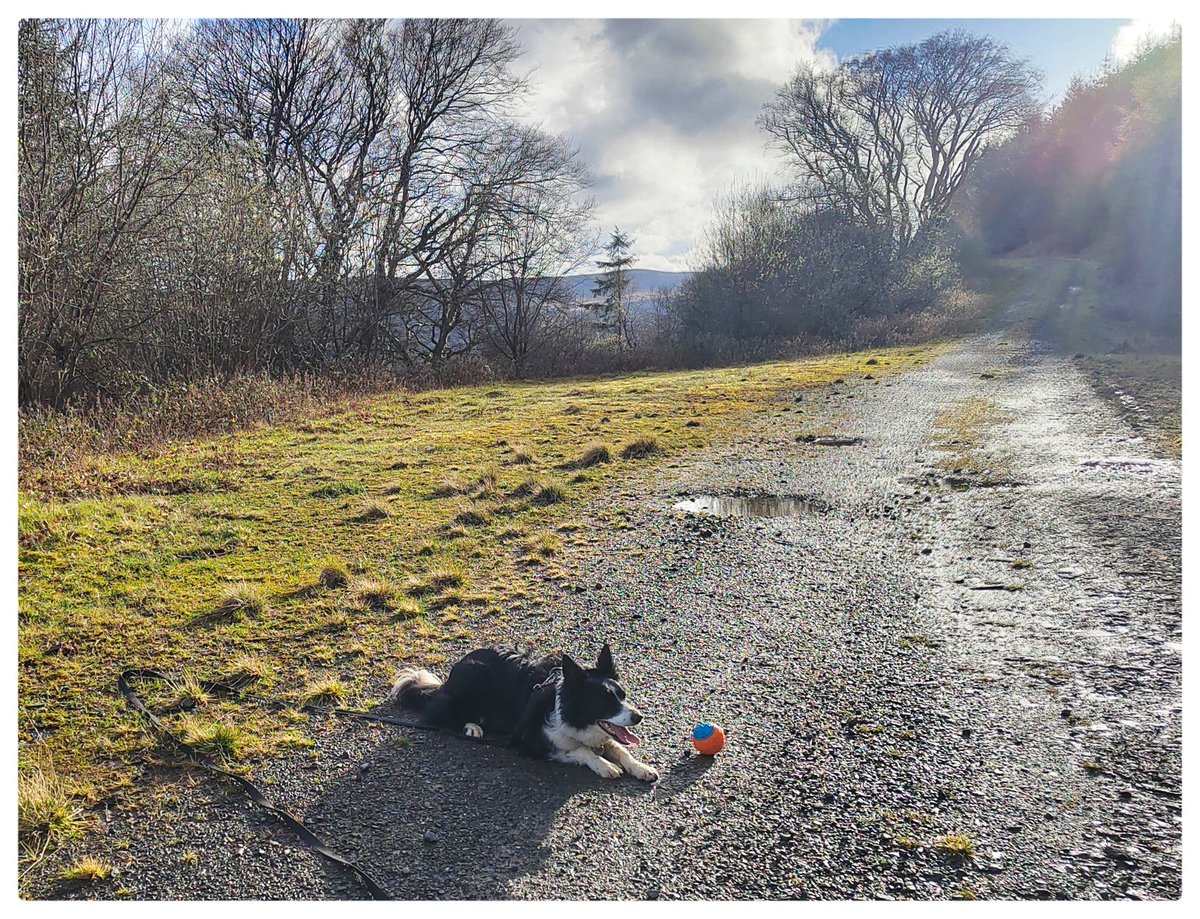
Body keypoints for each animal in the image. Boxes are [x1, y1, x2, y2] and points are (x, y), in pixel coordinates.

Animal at [388, 643, 662, 782]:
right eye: (604, 701)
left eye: (622, 696)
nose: (638, 717)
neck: (568, 712)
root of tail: (449, 678)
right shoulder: (532, 744)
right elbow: (580, 750)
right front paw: (604, 765)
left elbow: (619, 748)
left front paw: (640, 767)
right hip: (472, 679)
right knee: (440, 717)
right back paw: (473, 727)